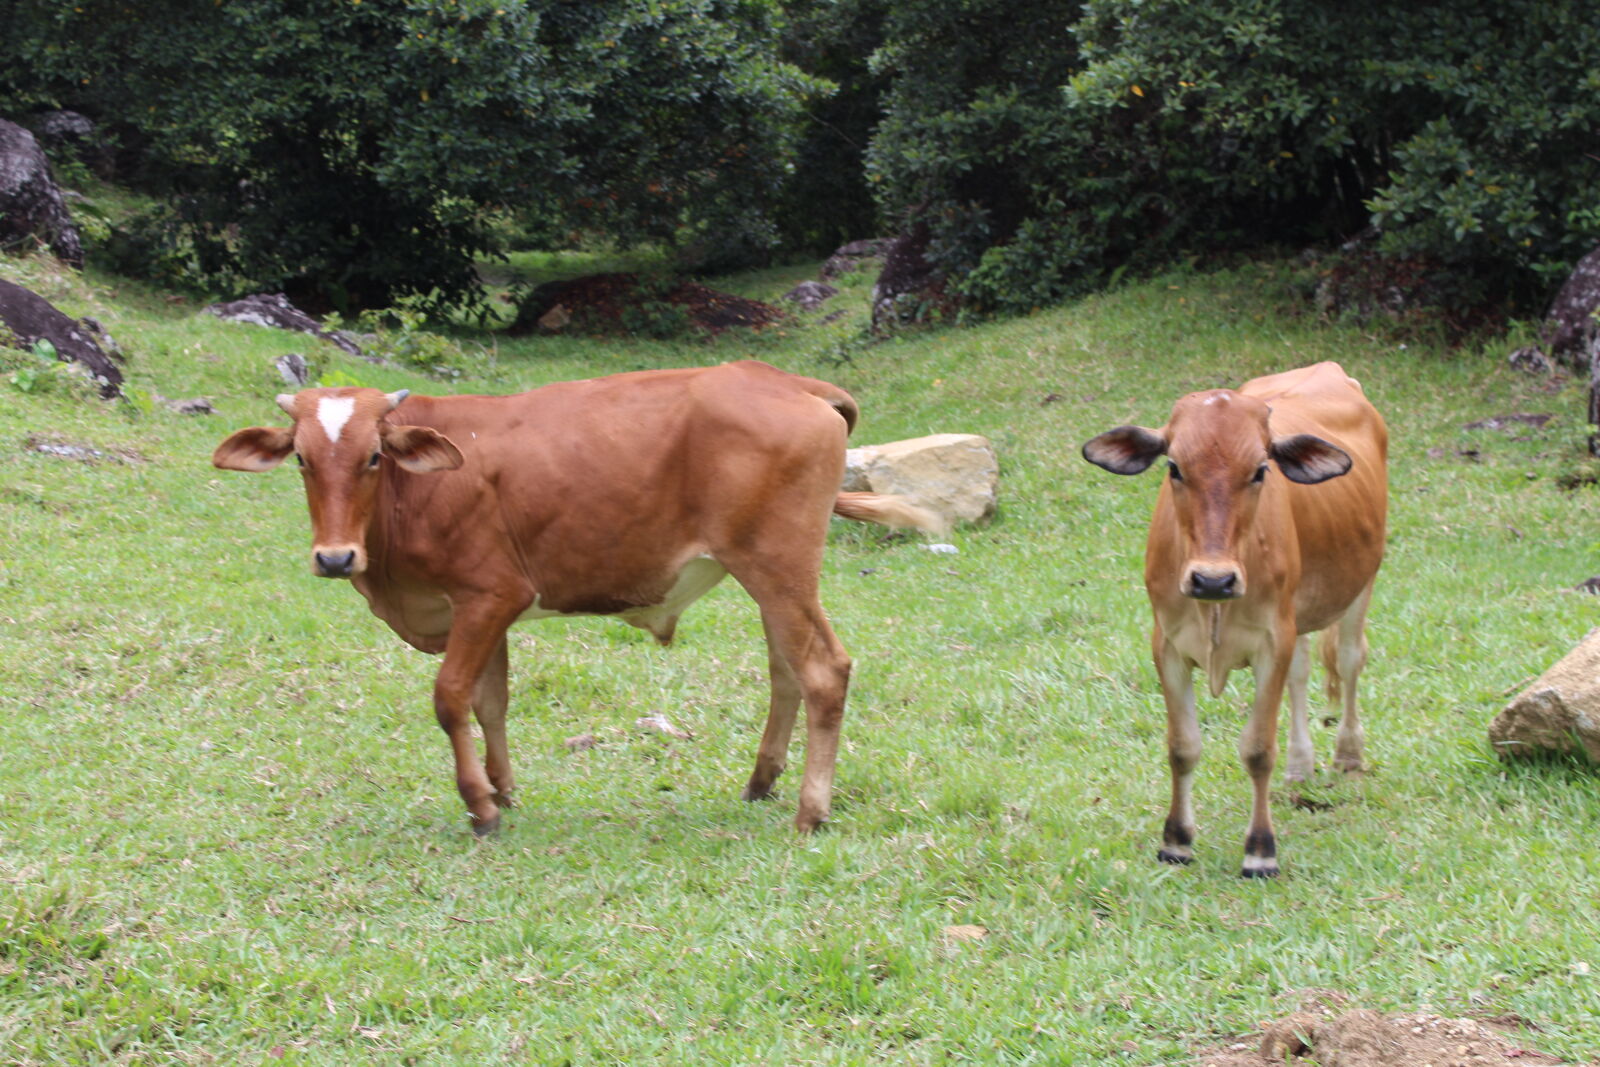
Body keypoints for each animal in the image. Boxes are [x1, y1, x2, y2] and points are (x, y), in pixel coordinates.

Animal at [212, 360, 942, 835]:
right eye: (302, 459)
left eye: (371, 456)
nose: (335, 557)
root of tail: (788, 381)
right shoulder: (486, 611)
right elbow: (491, 701)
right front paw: (504, 789)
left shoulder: (489, 595)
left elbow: (450, 698)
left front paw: (479, 805)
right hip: (771, 577)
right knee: (785, 671)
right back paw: (762, 781)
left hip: (779, 568)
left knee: (824, 671)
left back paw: (811, 810)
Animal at [1082, 362, 1387, 877]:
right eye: (1174, 467)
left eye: (1260, 470)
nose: (1213, 579)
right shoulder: (1167, 644)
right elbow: (1182, 747)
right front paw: (1177, 841)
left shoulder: (1272, 640)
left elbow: (1258, 749)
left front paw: (1260, 850)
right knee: (1302, 674)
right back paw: (1300, 765)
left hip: (1360, 584)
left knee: (1349, 662)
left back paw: (1347, 754)